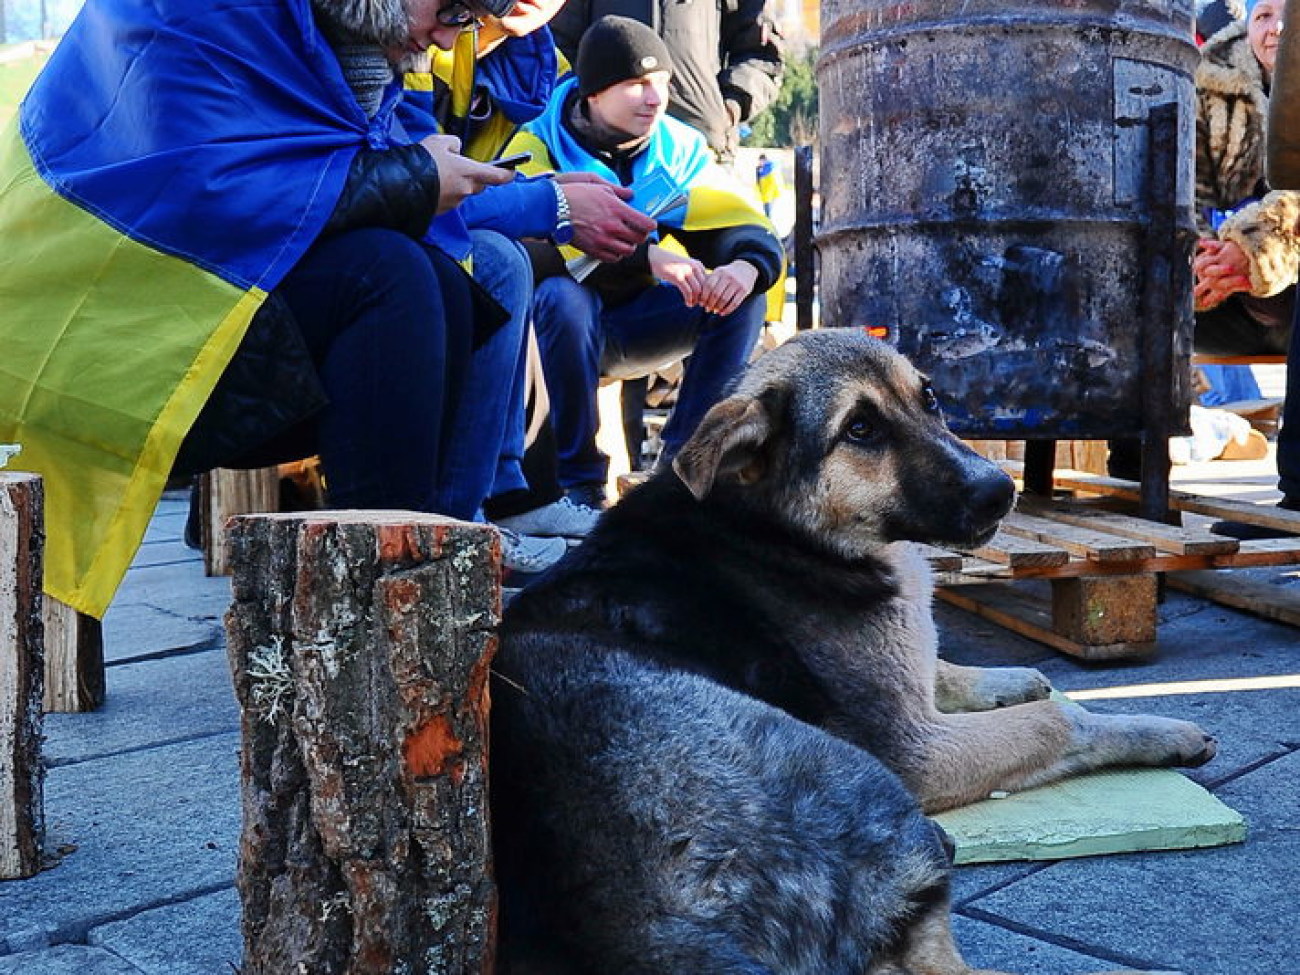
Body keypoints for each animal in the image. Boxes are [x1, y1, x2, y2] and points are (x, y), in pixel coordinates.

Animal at [488, 330, 1216, 975]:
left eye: (929, 397)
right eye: (860, 429)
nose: (1001, 492)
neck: (780, 527)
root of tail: (637, 928)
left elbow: (944, 668)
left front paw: (1014, 678)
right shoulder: (911, 747)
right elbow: (1058, 720)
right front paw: (1161, 730)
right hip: (859, 776)